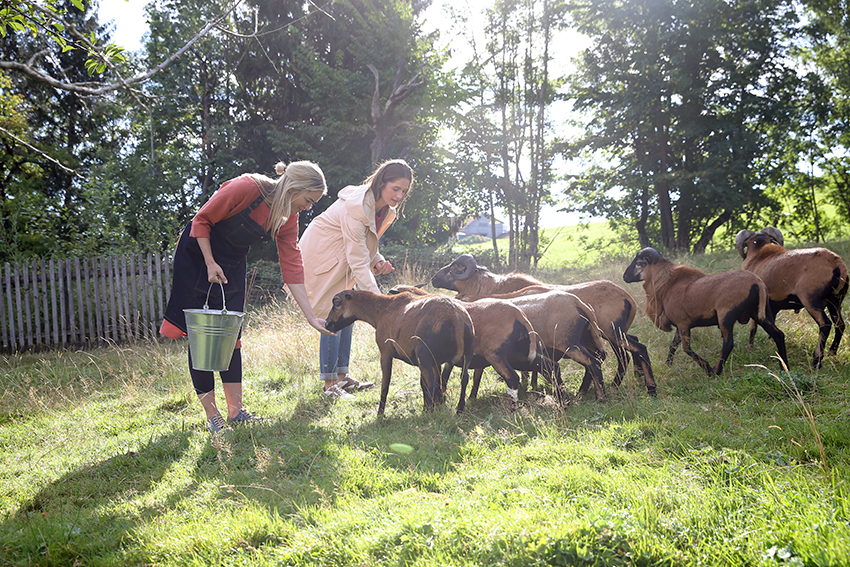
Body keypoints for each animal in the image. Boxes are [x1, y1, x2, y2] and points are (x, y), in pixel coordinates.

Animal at [322, 290, 474, 414]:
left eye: (336, 302)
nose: (327, 324)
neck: (380, 311)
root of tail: (457, 319)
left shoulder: (386, 352)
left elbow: (385, 385)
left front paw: (380, 415)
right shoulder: (434, 361)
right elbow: (427, 384)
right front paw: (435, 405)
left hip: (424, 354)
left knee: (431, 383)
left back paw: (429, 415)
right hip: (465, 354)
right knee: (463, 379)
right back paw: (459, 409)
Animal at [430, 253, 656, 394]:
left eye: (453, 269)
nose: (433, 279)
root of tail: (627, 297)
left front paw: (528, 386)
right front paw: (533, 386)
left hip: (611, 332)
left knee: (633, 351)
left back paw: (646, 387)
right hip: (614, 333)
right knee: (627, 352)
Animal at [620, 246, 784, 374]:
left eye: (639, 263)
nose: (625, 277)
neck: (667, 285)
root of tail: (757, 282)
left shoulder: (683, 323)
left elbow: (686, 348)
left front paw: (706, 367)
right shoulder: (679, 325)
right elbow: (673, 345)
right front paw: (668, 364)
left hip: (725, 317)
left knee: (728, 344)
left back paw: (715, 371)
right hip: (760, 314)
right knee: (779, 334)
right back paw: (783, 368)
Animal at [732, 227, 844, 368]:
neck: (759, 257)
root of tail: (836, 265)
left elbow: (753, 327)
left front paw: (750, 347)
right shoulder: (773, 306)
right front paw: (768, 343)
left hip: (811, 301)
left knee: (825, 324)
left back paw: (816, 360)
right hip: (835, 300)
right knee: (840, 324)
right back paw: (832, 352)